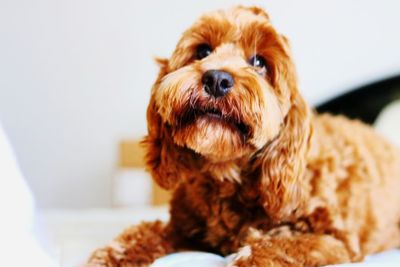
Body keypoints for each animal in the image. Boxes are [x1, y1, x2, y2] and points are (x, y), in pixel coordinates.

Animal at [86, 6, 400, 267]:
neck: (228, 175)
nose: (216, 79)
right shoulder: (181, 230)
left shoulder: (336, 242)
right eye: (202, 51)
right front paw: (111, 255)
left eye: (259, 62)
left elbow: (272, 248)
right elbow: (143, 233)